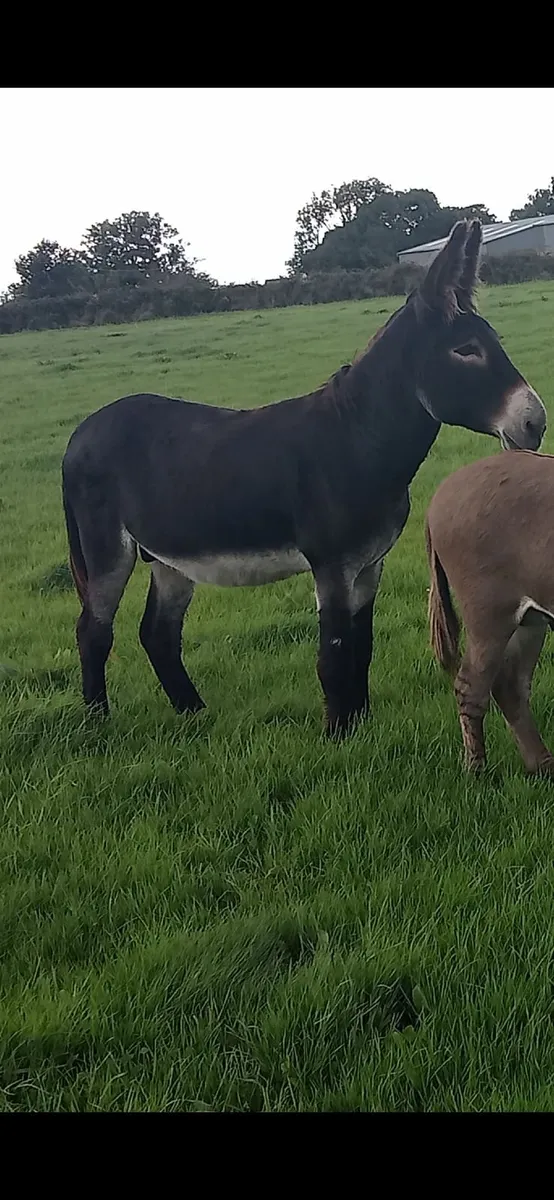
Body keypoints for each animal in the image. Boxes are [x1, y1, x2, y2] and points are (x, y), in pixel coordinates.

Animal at [62, 220, 546, 737]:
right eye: (466, 351)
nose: (536, 423)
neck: (357, 439)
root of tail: (83, 429)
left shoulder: (370, 565)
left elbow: (362, 647)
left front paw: (361, 726)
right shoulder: (331, 566)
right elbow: (332, 654)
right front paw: (337, 735)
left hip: (170, 556)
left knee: (157, 632)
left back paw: (194, 714)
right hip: (108, 550)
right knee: (93, 630)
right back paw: (97, 725)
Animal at [427, 451, 554, 775]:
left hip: (530, 619)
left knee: (510, 686)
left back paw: (542, 765)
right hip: (489, 615)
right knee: (471, 686)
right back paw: (476, 771)